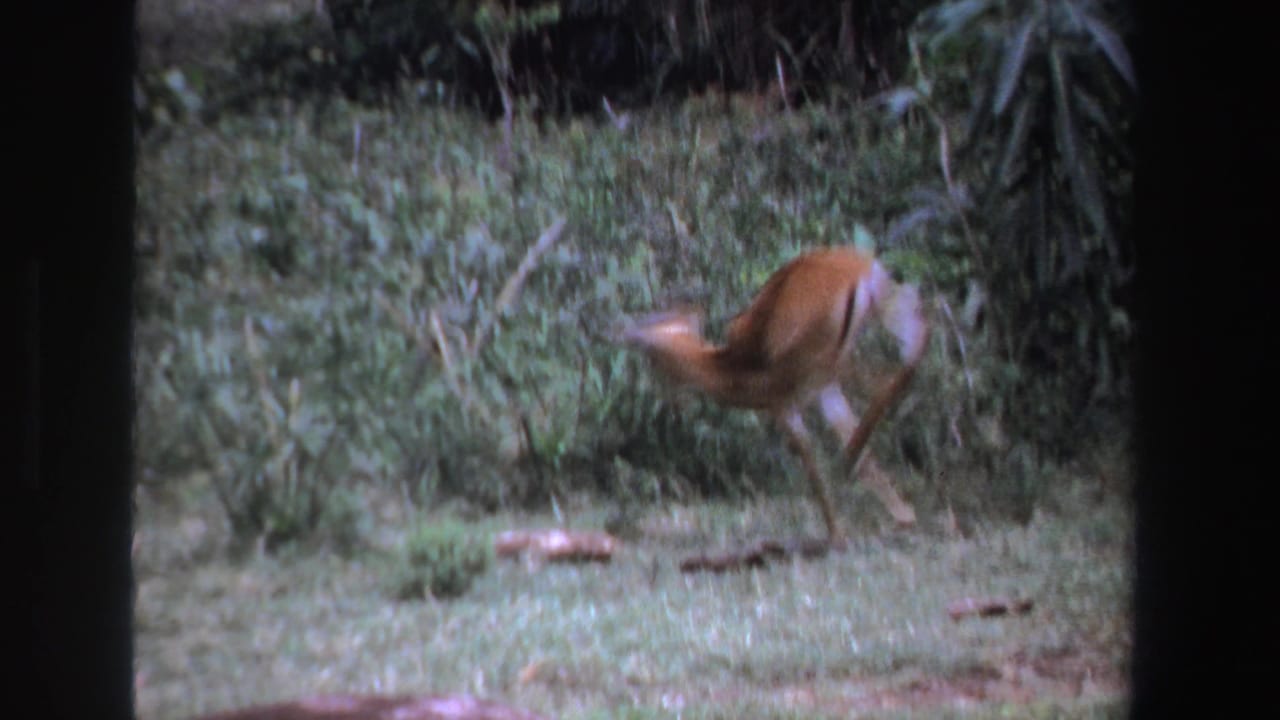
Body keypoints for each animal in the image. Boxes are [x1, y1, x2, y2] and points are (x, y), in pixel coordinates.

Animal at [620, 247, 929, 545]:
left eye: (652, 358)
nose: (662, 398)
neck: (729, 364)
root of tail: (858, 271)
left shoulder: (784, 405)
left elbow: (809, 459)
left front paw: (836, 534)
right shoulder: (824, 394)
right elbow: (850, 441)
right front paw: (903, 516)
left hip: (832, 360)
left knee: (887, 376)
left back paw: (849, 460)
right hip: (881, 321)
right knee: (915, 346)